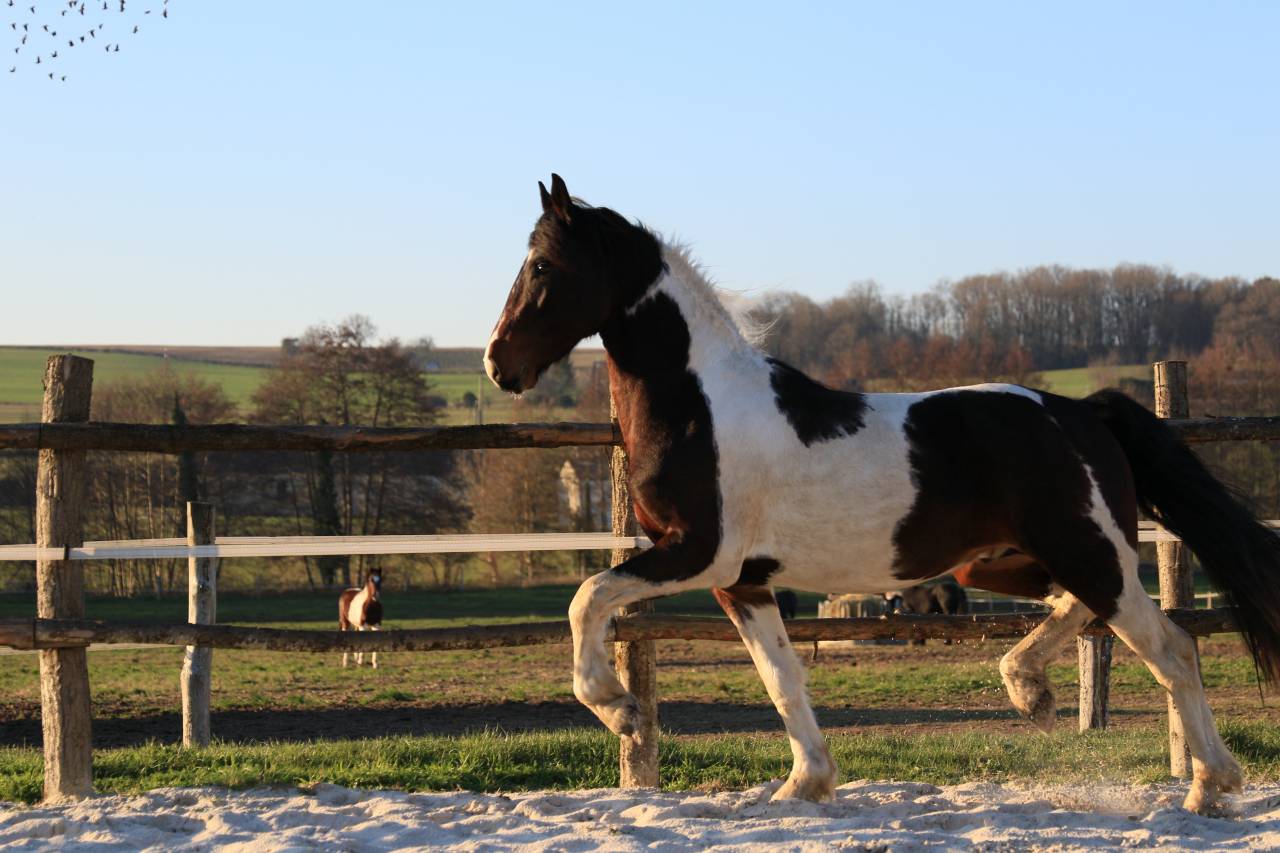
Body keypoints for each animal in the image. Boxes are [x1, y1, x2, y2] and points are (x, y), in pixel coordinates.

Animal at [484, 174, 1280, 812]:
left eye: (544, 265)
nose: (498, 363)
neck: (698, 404)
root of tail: (1081, 411)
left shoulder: (700, 554)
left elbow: (586, 596)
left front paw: (619, 710)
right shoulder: (741, 581)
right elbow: (782, 678)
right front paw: (804, 786)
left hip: (1086, 550)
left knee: (1173, 646)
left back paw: (1209, 786)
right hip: (1008, 560)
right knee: (1078, 609)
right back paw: (1029, 689)